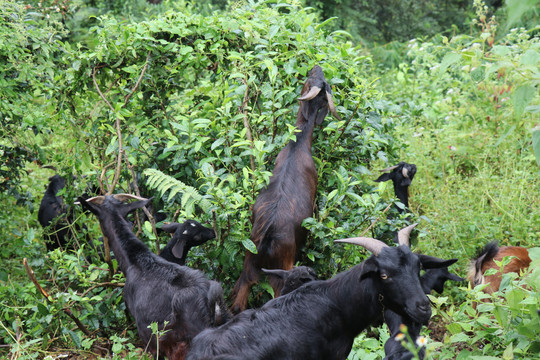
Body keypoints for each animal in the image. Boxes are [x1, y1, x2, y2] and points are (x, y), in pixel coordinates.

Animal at [230, 66, 340, 314]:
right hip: (283, 269)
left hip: (249, 262)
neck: (296, 145)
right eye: (311, 79)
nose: (316, 67)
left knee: (237, 302)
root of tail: (268, 234)